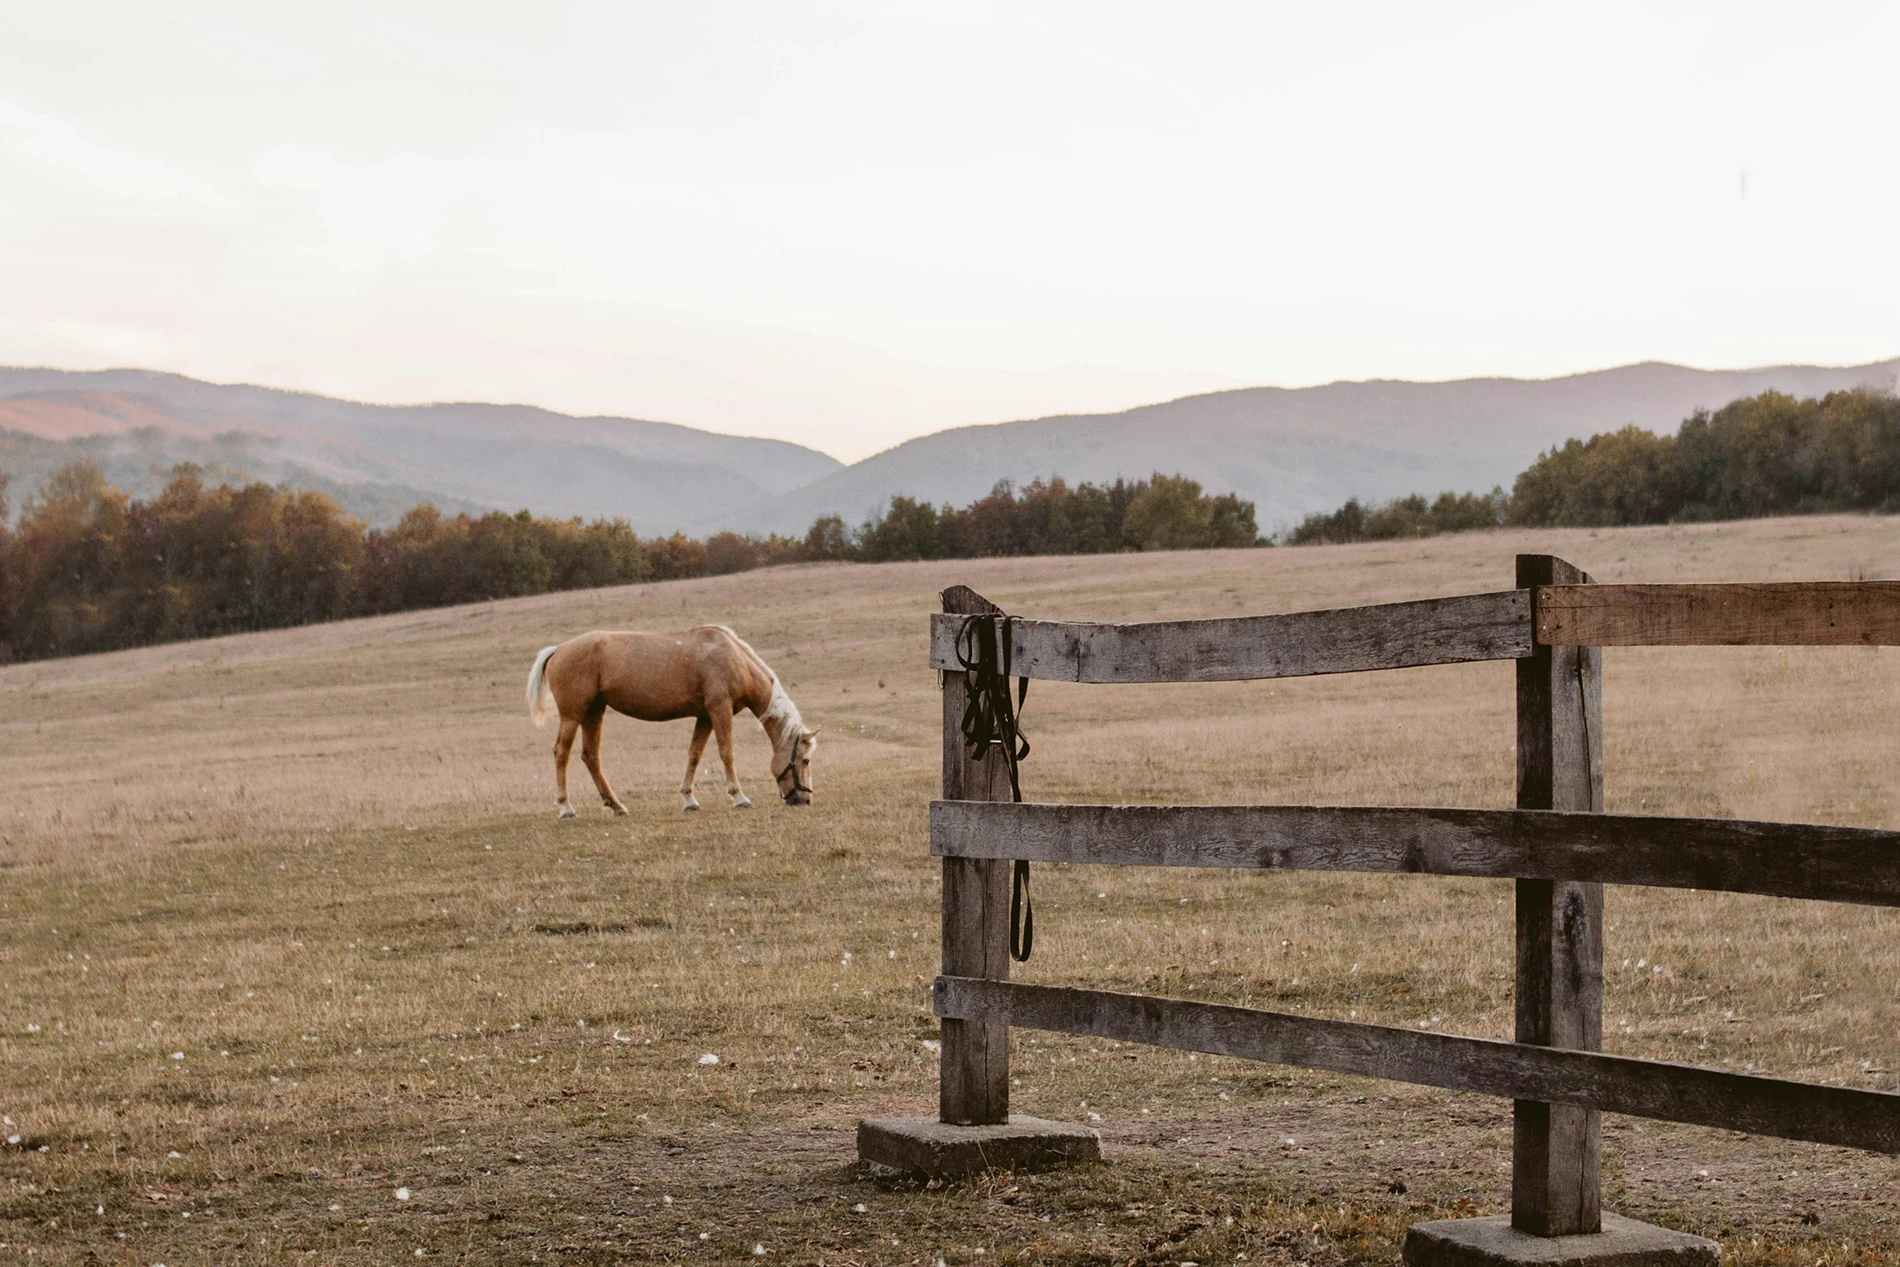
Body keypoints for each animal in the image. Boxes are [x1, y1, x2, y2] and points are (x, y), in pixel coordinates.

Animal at [528, 630, 817, 816]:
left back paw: (617, 806)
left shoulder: (705, 717)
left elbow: (694, 755)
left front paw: (689, 799)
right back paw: (566, 807)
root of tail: (559, 649)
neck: (735, 659)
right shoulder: (719, 710)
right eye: (805, 760)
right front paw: (739, 797)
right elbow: (727, 753)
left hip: (594, 712)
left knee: (591, 757)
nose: (804, 800)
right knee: (561, 754)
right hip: (572, 715)